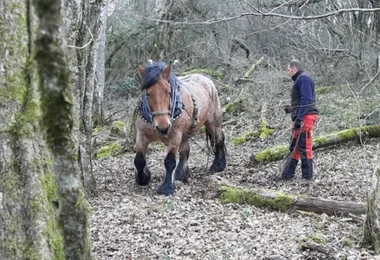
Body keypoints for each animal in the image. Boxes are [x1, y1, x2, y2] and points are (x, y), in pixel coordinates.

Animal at [135, 61, 227, 195]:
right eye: (147, 93)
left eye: (168, 91)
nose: (163, 127)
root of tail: (205, 79)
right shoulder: (142, 135)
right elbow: (139, 160)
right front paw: (143, 178)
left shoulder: (175, 135)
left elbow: (169, 161)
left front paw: (167, 187)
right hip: (186, 132)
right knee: (185, 150)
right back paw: (181, 174)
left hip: (213, 122)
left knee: (219, 139)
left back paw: (218, 165)